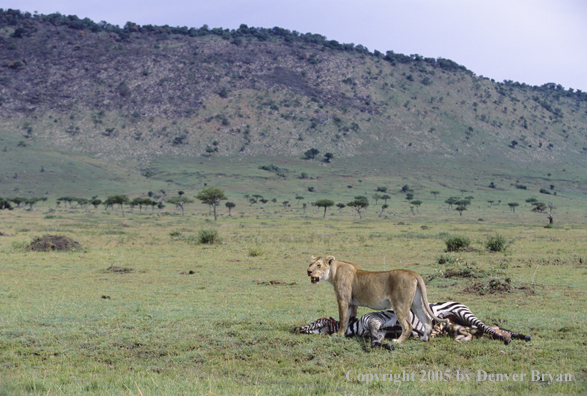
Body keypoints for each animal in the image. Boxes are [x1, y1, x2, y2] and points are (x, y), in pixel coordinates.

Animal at [306, 256, 448, 344]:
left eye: (318, 265)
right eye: (310, 264)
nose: (308, 271)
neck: (333, 272)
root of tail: (413, 273)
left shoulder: (343, 300)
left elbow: (343, 318)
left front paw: (339, 334)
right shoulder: (352, 303)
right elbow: (350, 318)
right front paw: (348, 331)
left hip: (400, 304)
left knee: (408, 325)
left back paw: (398, 341)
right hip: (416, 303)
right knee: (427, 320)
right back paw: (424, 339)